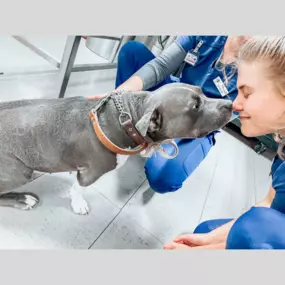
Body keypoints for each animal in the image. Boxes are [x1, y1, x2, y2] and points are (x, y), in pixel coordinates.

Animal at [0, 82, 232, 213]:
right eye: (195, 106)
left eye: (202, 91)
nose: (230, 104)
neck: (129, 117)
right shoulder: (91, 172)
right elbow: (78, 188)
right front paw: (79, 204)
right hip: (21, 172)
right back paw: (23, 199)